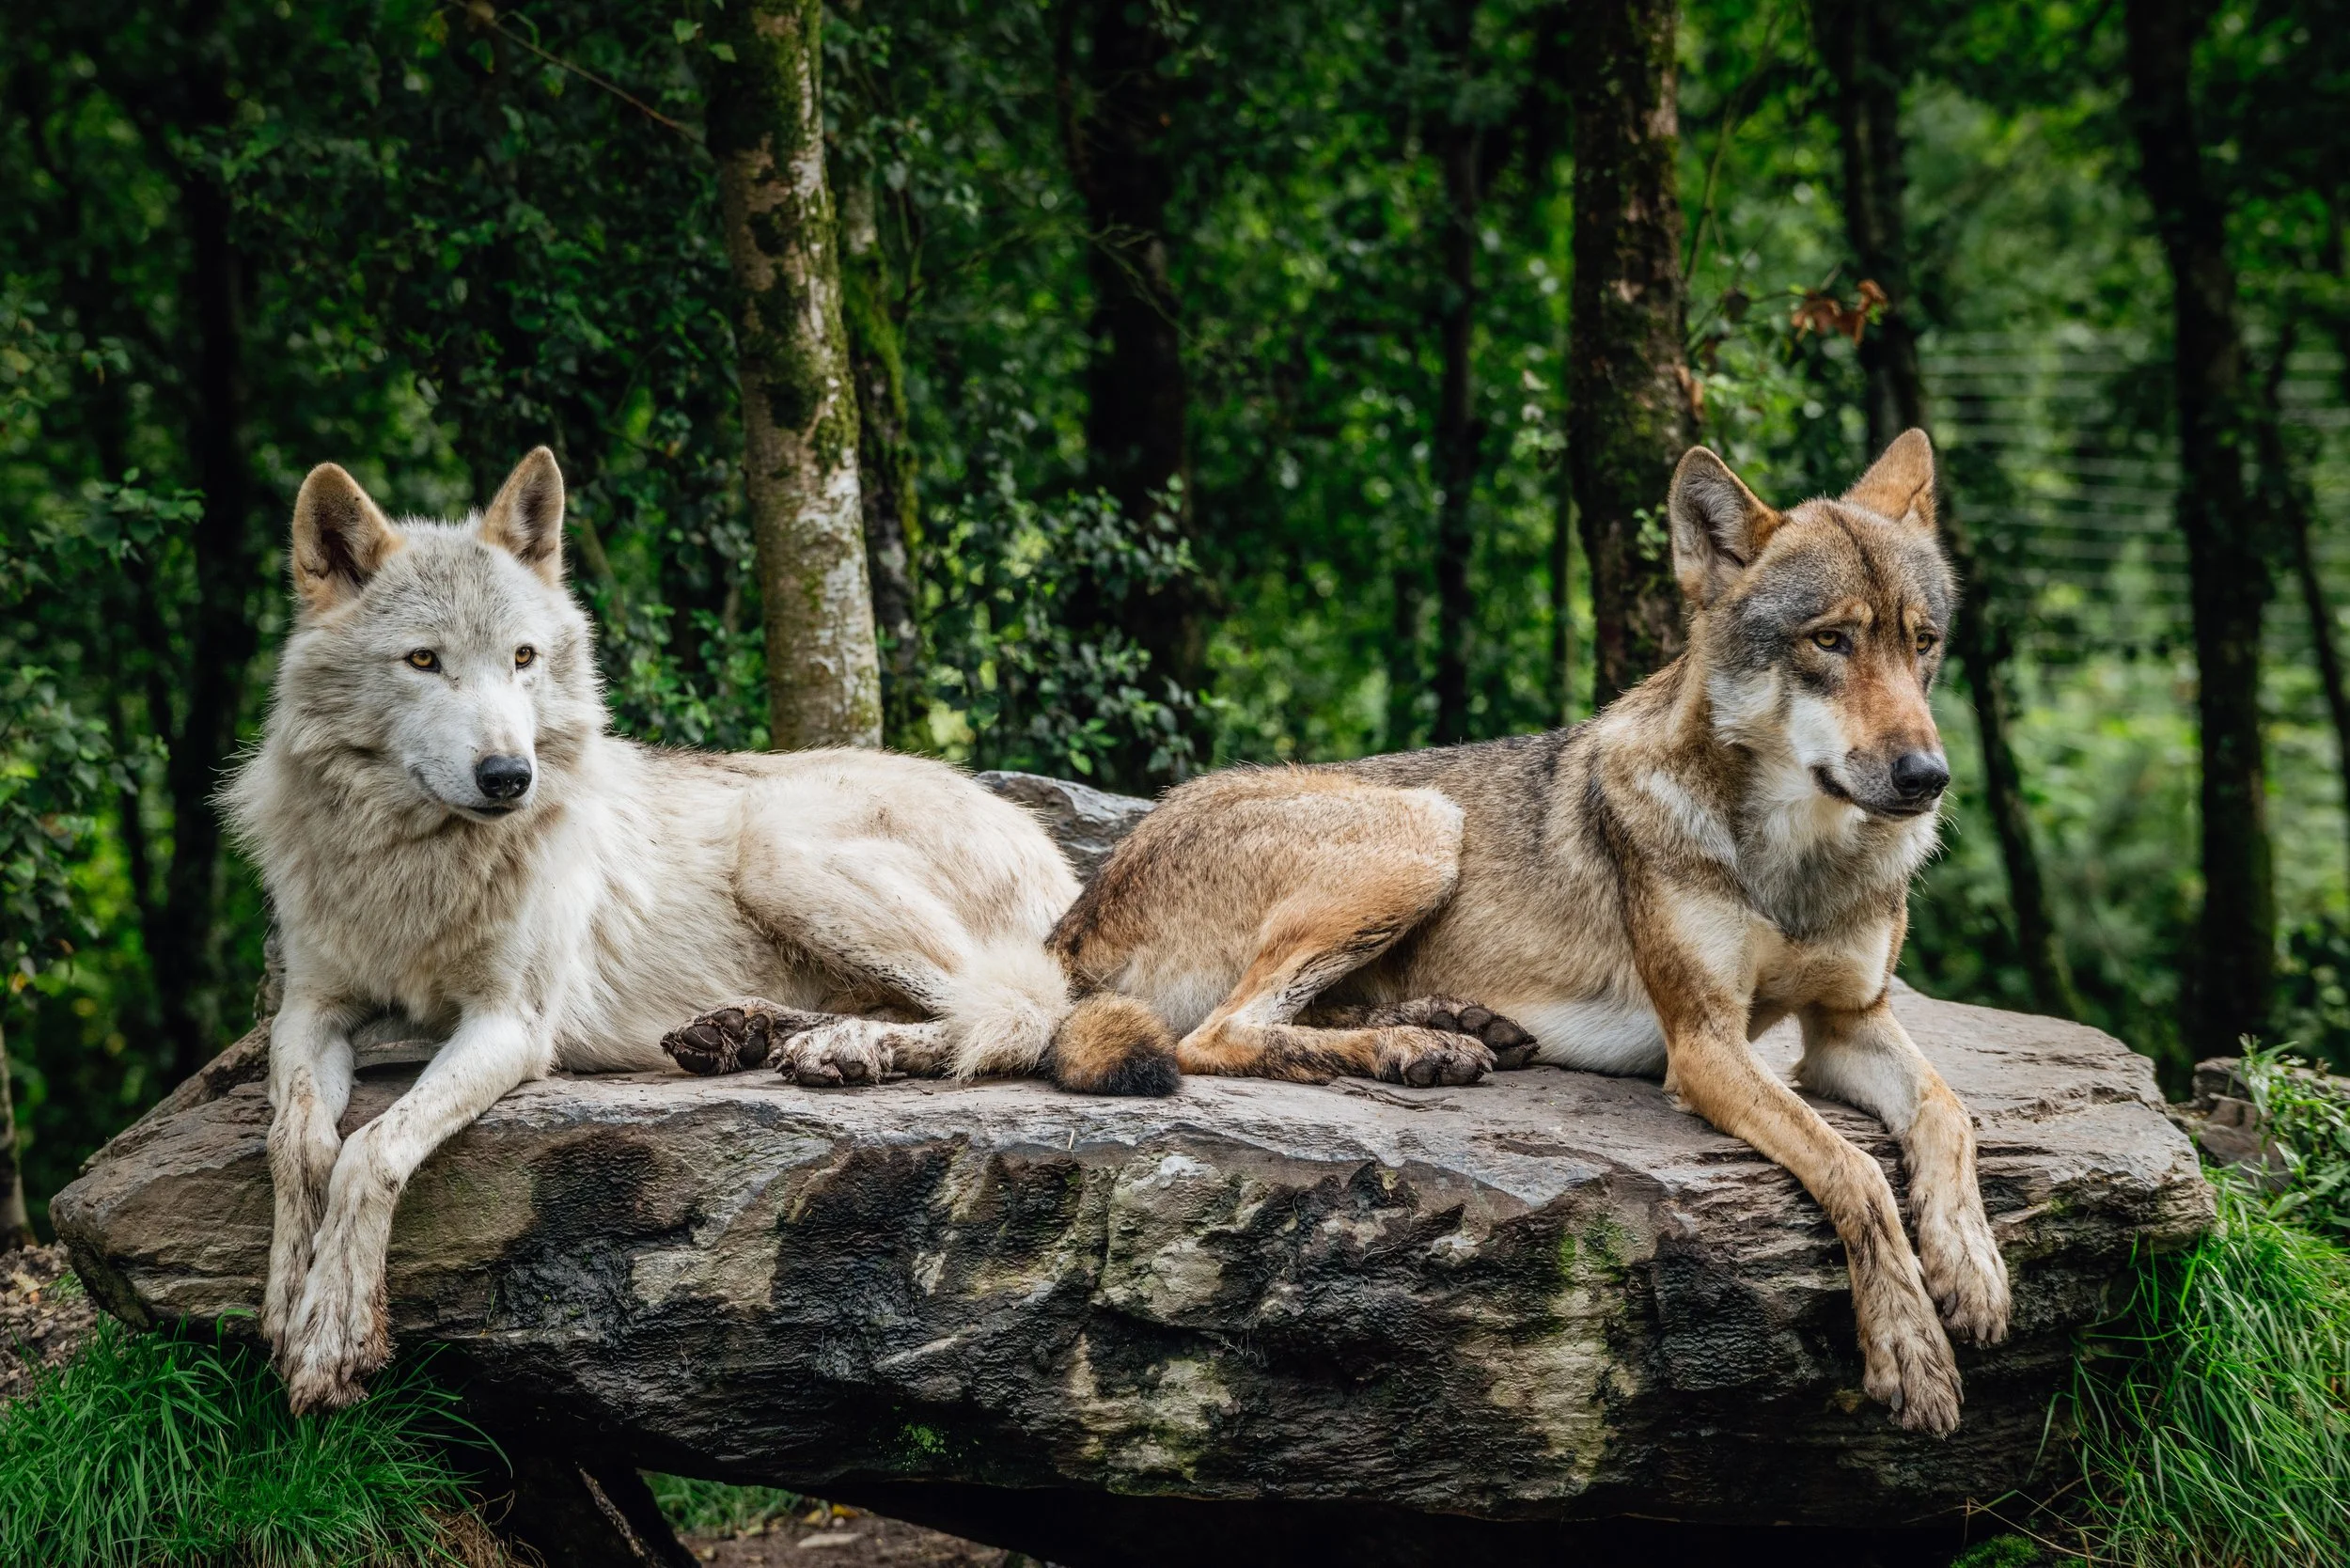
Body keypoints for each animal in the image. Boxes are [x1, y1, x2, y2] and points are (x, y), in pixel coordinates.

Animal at [226, 449, 1174, 1414]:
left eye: (523, 659)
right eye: (424, 660)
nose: (509, 776)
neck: (416, 867)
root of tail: (1059, 858)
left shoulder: (511, 1025)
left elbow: (371, 1150)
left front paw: (333, 1335)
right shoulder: (310, 1006)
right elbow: (296, 1141)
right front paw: (286, 1297)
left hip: (778, 849)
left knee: (1015, 1013)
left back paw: (840, 1049)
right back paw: (749, 1034)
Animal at [1046, 431, 2008, 1434]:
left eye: (1923, 642)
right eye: (1831, 640)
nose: (1927, 776)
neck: (1799, 864)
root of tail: (1078, 912)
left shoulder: (1848, 1022)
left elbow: (1948, 1114)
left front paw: (1972, 1269)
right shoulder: (1705, 1044)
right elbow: (1855, 1171)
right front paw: (1909, 1348)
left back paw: (1448, 1031)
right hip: (1425, 827)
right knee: (1219, 1036)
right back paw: (1418, 1047)